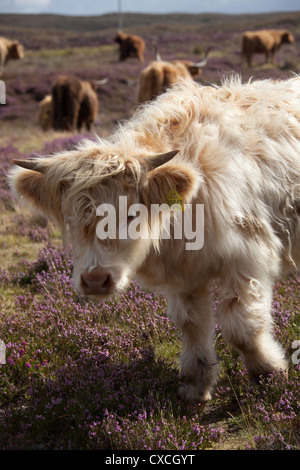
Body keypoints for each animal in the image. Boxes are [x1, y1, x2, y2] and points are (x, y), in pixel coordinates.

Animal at [9, 75, 300, 402]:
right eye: (72, 220)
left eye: (131, 214)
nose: (95, 281)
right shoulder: (185, 276)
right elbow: (191, 324)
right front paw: (196, 385)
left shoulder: (248, 257)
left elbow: (241, 327)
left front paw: (269, 372)